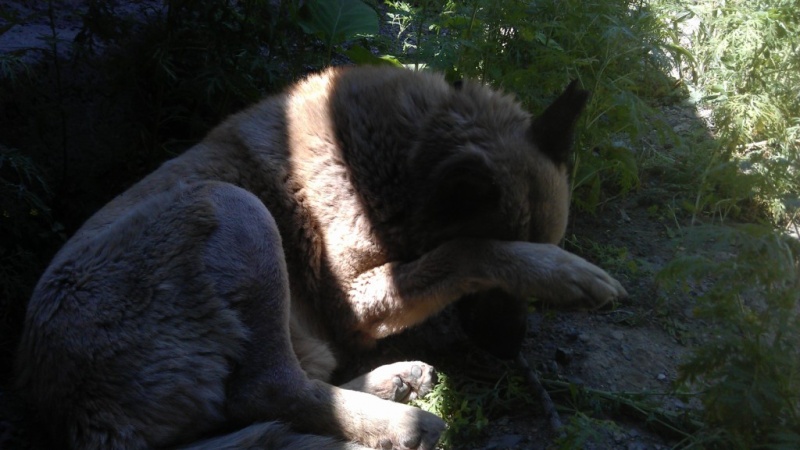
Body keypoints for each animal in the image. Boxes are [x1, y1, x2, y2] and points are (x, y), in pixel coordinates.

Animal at [14, 65, 626, 449]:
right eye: (496, 291)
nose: (510, 348)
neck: (400, 162)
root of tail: (77, 414)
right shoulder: (357, 300)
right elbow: (466, 248)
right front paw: (561, 273)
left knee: (286, 388)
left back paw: (393, 383)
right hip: (238, 208)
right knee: (270, 388)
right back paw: (401, 424)